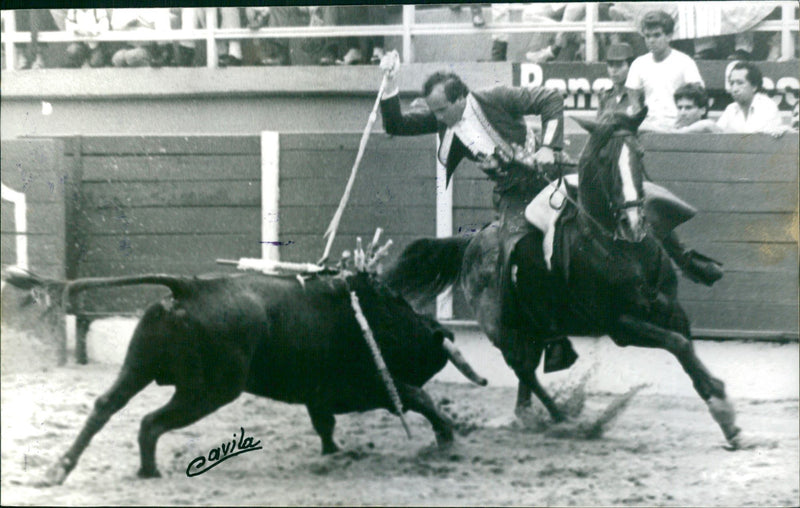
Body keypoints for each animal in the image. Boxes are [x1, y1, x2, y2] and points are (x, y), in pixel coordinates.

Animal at [1, 266, 488, 484]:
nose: (442, 333)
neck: (371, 314)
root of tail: (190, 287)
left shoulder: (322, 395)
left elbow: (324, 424)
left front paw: (333, 453)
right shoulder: (361, 387)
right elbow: (416, 397)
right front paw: (447, 436)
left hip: (139, 367)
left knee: (106, 406)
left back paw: (59, 470)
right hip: (209, 390)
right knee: (150, 422)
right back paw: (148, 471)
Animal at [384, 108, 740, 448]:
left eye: (640, 154)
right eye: (603, 159)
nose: (633, 222)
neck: (619, 247)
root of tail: (471, 241)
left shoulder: (672, 310)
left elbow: (687, 350)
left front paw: (725, 417)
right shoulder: (619, 325)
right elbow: (678, 344)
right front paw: (724, 409)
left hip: (533, 327)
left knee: (526, 378)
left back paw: (532, 417)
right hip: (502, 330)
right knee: (524, 371)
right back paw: (563, 419)